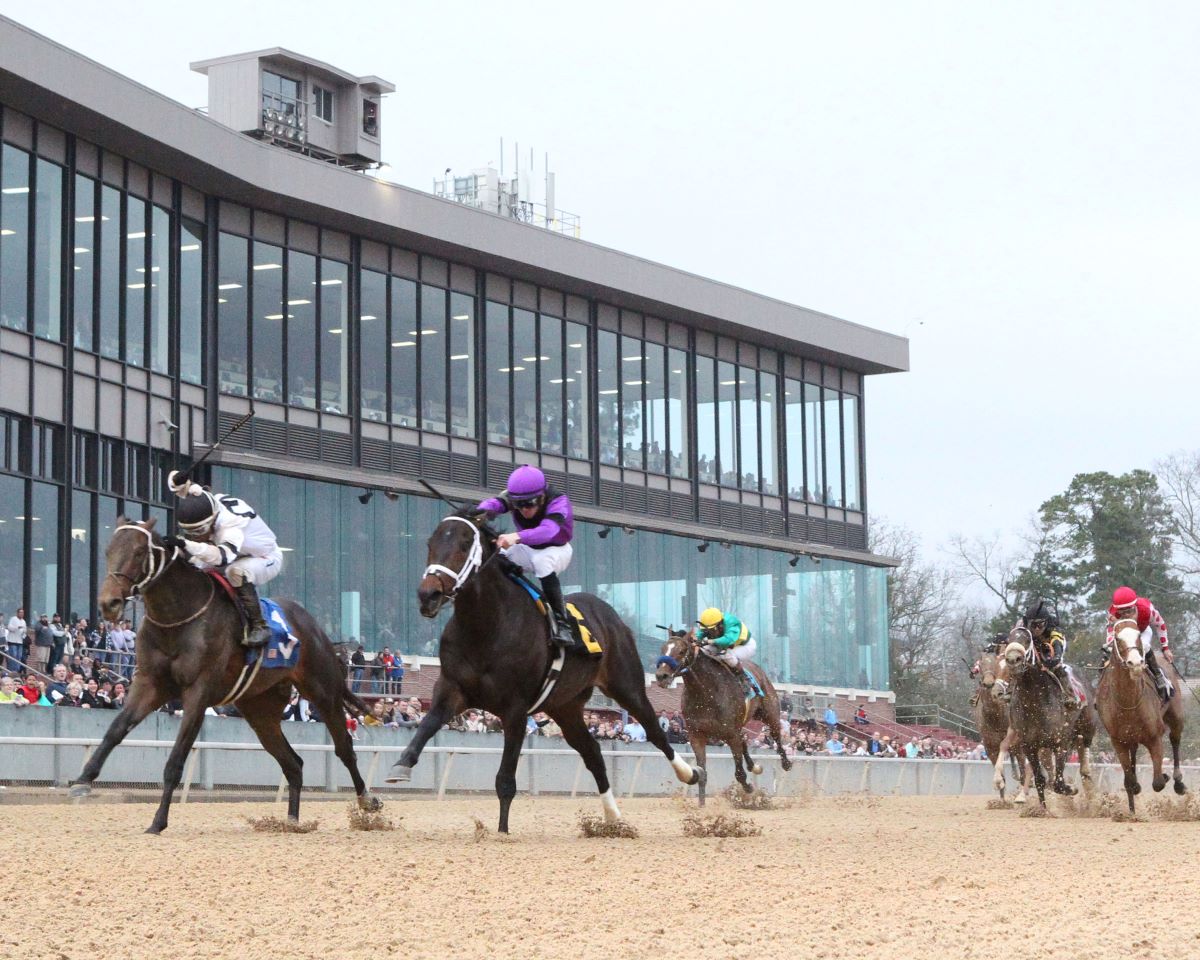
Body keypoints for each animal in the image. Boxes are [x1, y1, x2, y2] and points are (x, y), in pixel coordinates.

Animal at [70, 518, 379, 830]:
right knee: (293, 764)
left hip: (322, 690)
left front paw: (158, 821)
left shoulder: (198, 691)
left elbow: (175, 761)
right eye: (108, 551)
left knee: (344, 748)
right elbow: (115, 730)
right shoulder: (150, 684)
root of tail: (314, 626)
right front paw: (82, 780)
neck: (178, 617)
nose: (109, 603)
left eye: (138, 552)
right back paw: (291, 822)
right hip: (259, 710)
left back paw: (367, 802)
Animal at [384, 508, 700, 830]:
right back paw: (612, 816)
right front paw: (401, 766)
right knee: (593, 752)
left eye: (463, 545)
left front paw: (502, 831)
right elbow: (427, 725)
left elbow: (505, 780)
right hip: (566, 707)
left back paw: (690, 773)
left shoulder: (515, 708)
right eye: (430, 543)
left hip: (626, 686)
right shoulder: (452, 689)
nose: (428, 595)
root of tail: (611, 615)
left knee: (655, 731)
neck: (486, 626)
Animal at [652, 624, 792, 806]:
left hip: (769, 714)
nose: (661, 676)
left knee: (776, 737)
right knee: (744, 740)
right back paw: (754, 766)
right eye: (663, 649)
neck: (706, 692)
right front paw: (701, 805)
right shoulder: (697, 735)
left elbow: (739, 773)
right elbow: (702, 773)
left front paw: (748, 788)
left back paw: (786, 763)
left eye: (682, 651)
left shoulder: (730, 734)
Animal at [1003, 624, 1099, 806]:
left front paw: (1071, 789)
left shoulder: (1060, 742)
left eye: (1027, 639)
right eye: (1008, 640)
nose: (1012, 660)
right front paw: (1043, 809)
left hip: (1087, 727)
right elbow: (1040, 779)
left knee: (1084, 760)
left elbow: (1058, 783)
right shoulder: (1029, 745)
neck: (1034, 702)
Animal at [1094, 619, 1185, 816]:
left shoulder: (1155, 737)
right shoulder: (1118, 741)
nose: (1136, 662)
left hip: (1175, 716)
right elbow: (1129, 781)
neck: (1128, 701)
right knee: (1134, 755)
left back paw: (1178, 782)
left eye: (1137, 635)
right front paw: (1132, 806)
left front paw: (1164, 775)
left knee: (1175, 739)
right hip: (1131, 737)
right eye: (1118, 639)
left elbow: (1158, 782)